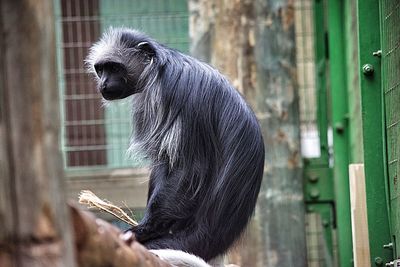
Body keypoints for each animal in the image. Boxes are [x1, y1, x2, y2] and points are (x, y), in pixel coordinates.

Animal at [86, 28, 264, 262]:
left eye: (114, 68)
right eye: (101, 69)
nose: (104, 84)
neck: (157, 69)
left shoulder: (172, 92)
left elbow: (187, 168)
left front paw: (144, 229)